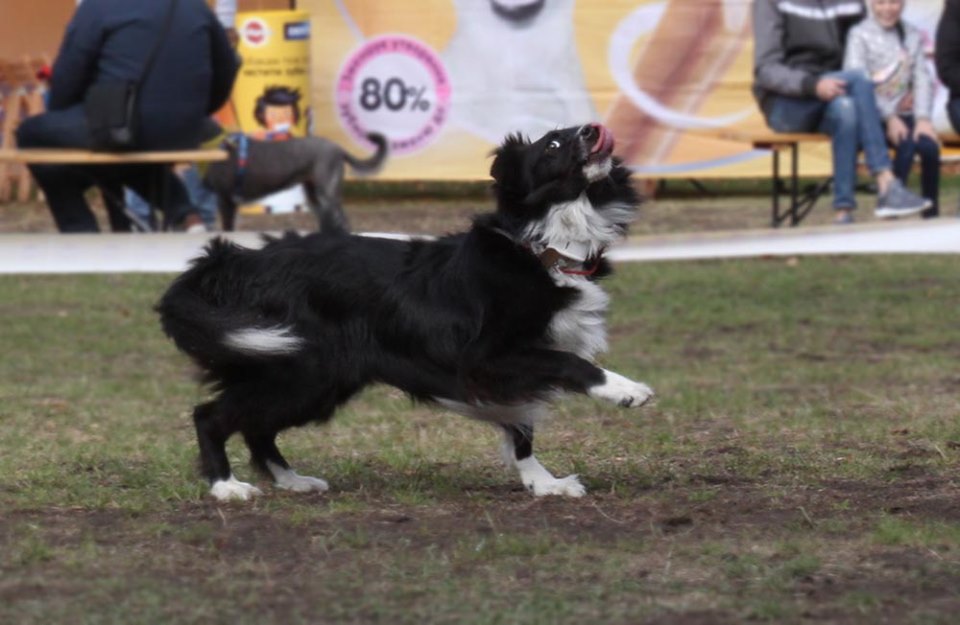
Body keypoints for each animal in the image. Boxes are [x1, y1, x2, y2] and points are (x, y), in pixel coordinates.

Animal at [206, 132, 390, 232]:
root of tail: (339, 149)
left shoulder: (225, 199)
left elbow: (227, 228)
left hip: (327, 192)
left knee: (343, 223)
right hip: (313, 195)